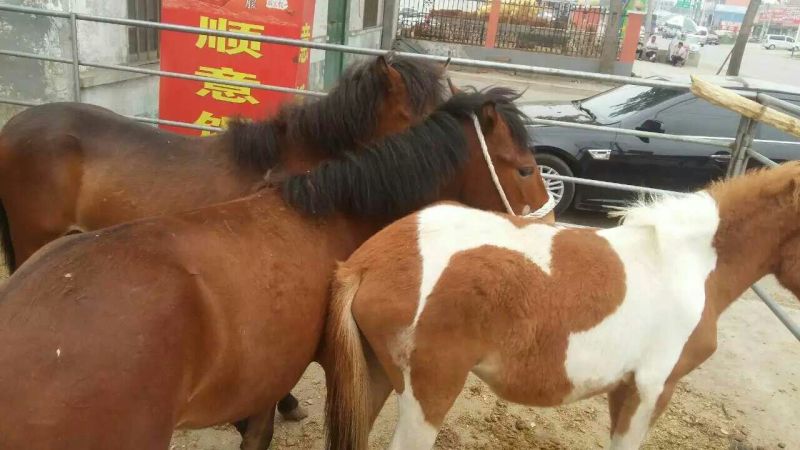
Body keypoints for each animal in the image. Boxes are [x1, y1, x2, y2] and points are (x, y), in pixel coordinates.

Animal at [325, 161, 800, 450]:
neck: (690, 262)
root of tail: (365, 263)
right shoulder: (651, 389)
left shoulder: (626, 389)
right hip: (428, 392)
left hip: (375, 377)